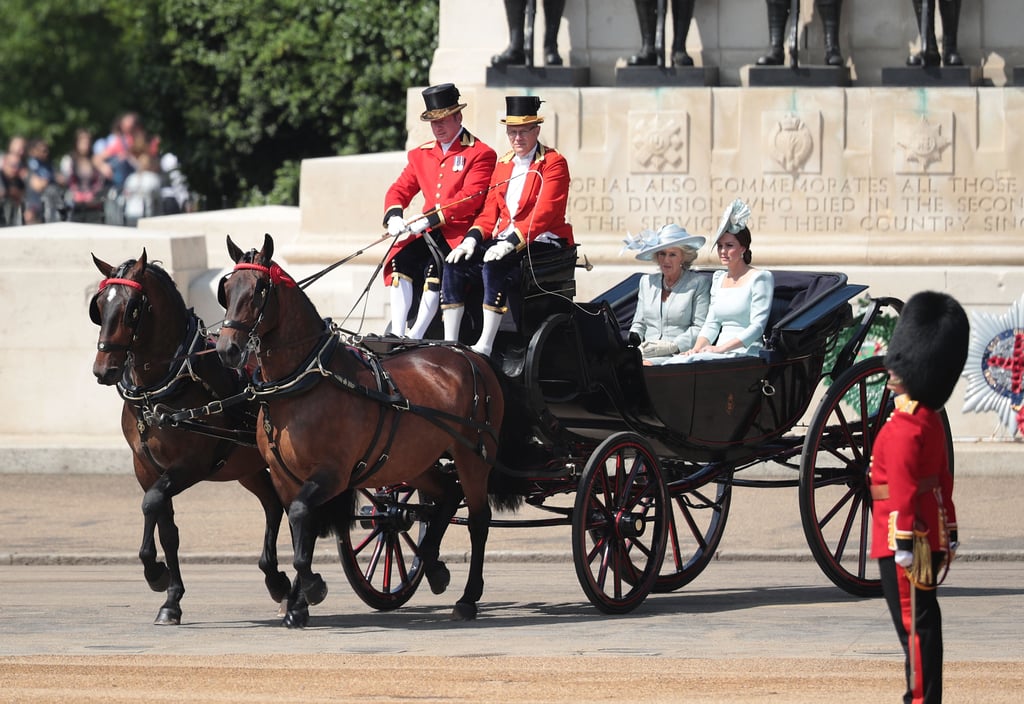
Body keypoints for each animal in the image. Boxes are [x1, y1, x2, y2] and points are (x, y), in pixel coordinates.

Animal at [90, 250, 290, 626]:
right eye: (99, 306)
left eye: (132, 308)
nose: (103, 370)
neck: (165, 385)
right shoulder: (146, 468)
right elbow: (167, 528)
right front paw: (171, 598)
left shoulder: (190, 466)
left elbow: (151, 504)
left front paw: (156, 574)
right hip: (248, 468)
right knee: (273, 505)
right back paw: (277, 581)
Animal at [216, 236, 503, 626]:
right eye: (227, 289)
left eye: (260, 288)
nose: (226, 349)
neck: (300, 385)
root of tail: (470, 355)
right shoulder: (283, 477)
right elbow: (298, 530)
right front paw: (297, 603)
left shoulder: (334, 474)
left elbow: (301, 517)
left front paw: (312, 587)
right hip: (414, 461)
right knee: (446, 495)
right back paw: (432, 565)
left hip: (473, 457)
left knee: (478, 520)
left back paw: (468, 597)